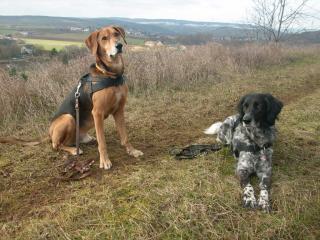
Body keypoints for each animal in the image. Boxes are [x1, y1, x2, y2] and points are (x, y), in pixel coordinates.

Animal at [48, 26, 142, 169]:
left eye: (116, 34)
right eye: (104, 38)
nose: (119, 45)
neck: (111, 75)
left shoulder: (119, 110)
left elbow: (125, 136)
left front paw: (132, 151)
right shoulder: (97, 113)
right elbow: (102, 142)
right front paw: (105, 161)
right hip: (68, 118)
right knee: (57, 145)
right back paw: (74, 150)